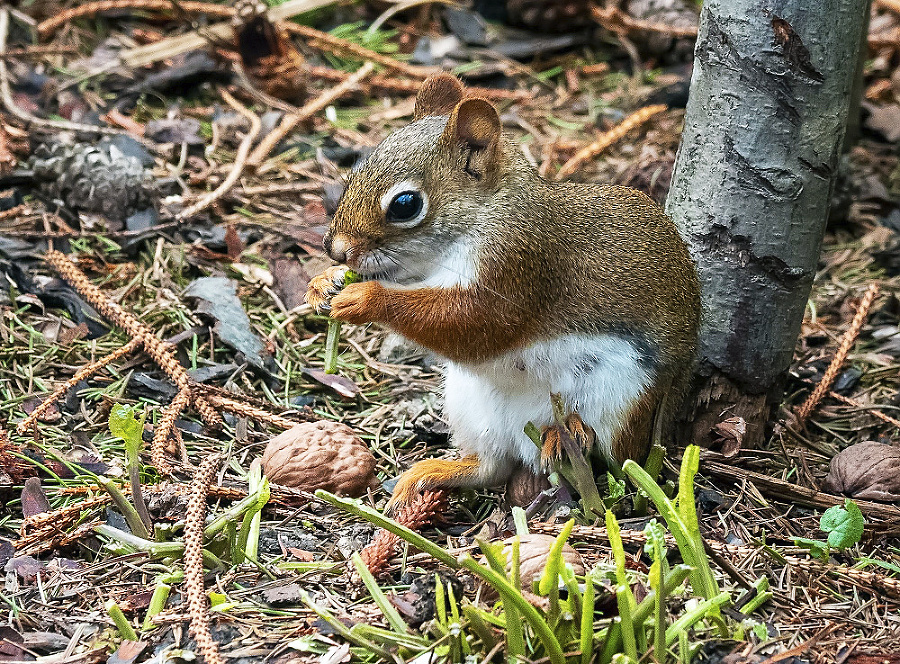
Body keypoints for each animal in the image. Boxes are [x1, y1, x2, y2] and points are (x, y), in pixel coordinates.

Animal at [306, 74, 700, 508]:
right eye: (356, 170)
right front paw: (323, 283)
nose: (337, 249)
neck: (484, 214)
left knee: (616, 458)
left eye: (405, 204)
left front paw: (365, 298)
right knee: (489, 468)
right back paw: (429, 475)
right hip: (471, 405)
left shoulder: (517, 266)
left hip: (620, 400)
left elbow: (474, 322)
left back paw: (567, 433)